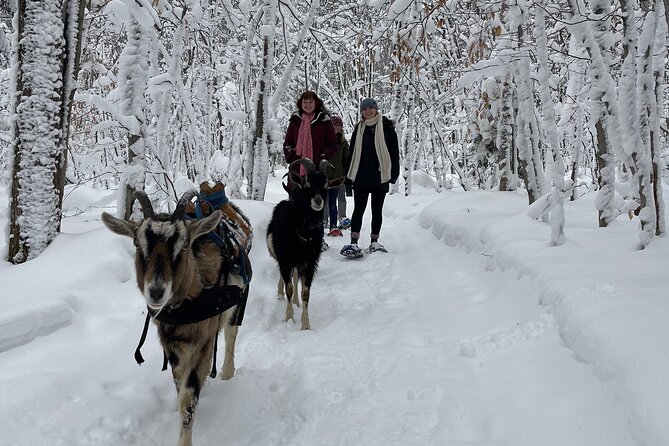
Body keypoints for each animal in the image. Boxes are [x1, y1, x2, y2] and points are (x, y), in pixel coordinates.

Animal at [101, 190, 252, 446]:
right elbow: (180, 385)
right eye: (138, 244)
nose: (156, 291)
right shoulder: (172, 346)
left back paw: (227, 373)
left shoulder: (203, 341)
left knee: (231, 335)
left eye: (184, 245)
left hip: (237, 305)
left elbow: (188, 399)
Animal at [266, 159, 343, 330]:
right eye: (306, 184)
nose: (318, 201)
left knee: (295, 278)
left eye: (326, 186)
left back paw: (296, 302)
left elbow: (305, 292)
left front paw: (305, 325)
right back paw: (281, 294)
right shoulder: (285, 260)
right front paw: (289, 318)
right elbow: (288, 287)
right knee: (285, 279)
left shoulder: (310, 263)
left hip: (298, 263)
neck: (303, 233)